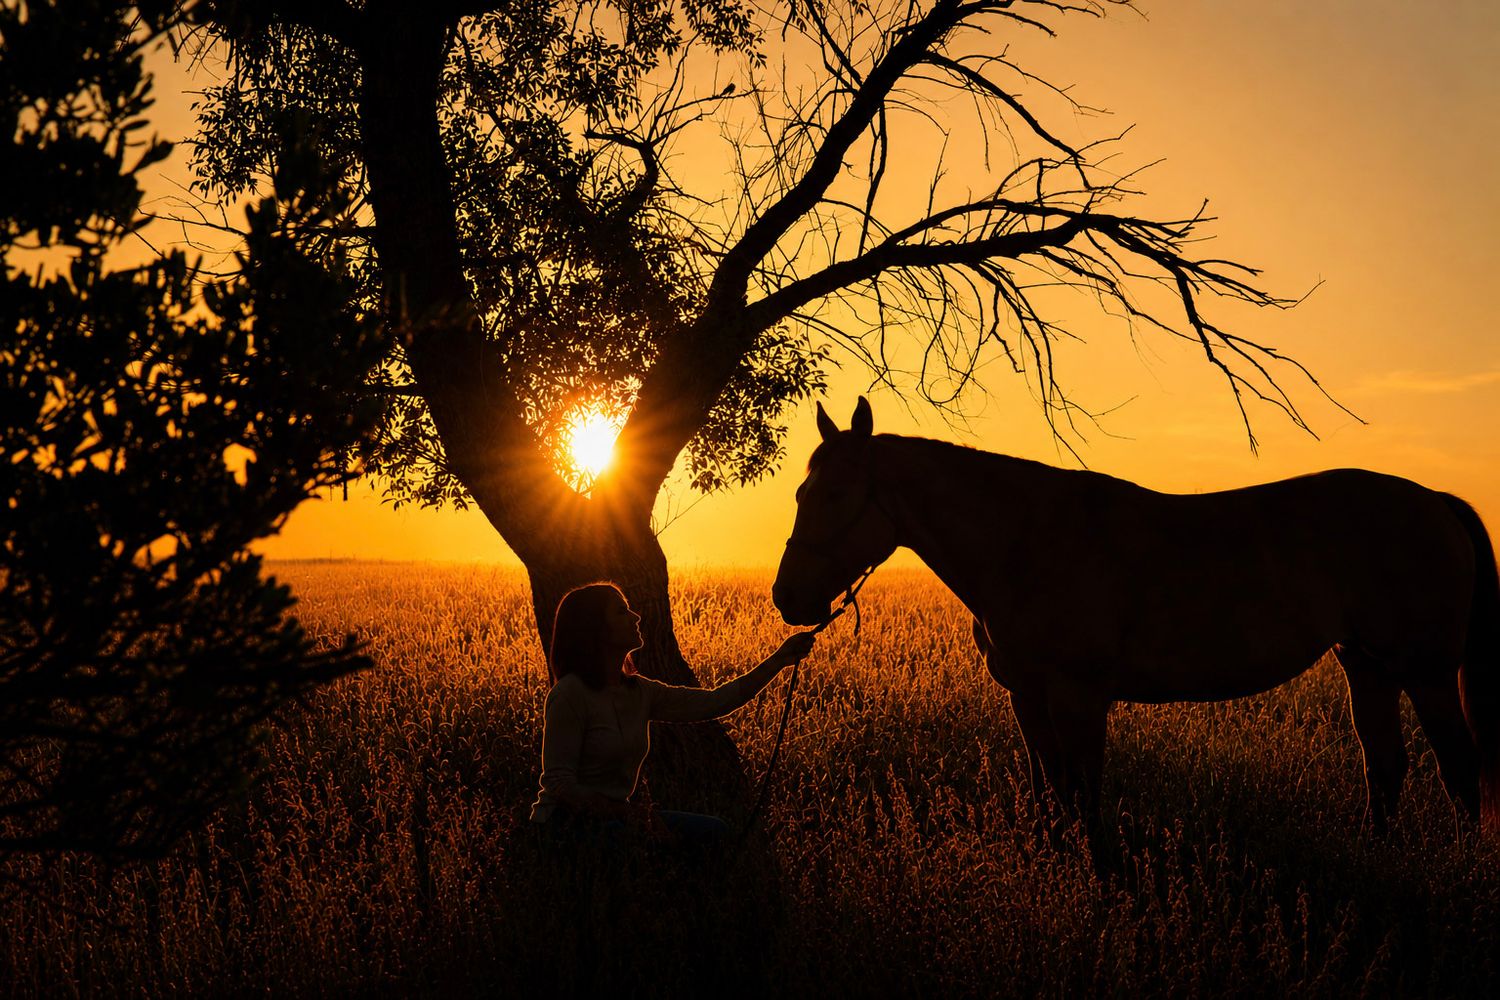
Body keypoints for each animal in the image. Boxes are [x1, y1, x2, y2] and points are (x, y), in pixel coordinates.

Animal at [772, 397, 1500, 841]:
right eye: (800, 491)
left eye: (834, 493)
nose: (788, 598)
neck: (1026, 540)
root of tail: (1432, 499)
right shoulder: (1027, 697)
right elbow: (1052, 790)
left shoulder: (1080, 696)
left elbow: (1084, 795)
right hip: (1367, 665)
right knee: (1387, 767)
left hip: (1426, 674)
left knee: (1459, 771)